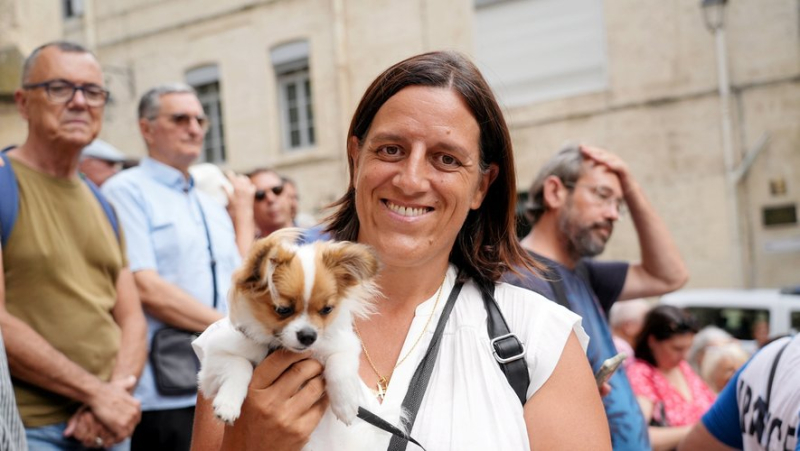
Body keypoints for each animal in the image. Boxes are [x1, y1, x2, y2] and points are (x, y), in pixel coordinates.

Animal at [195, 230, 380, 428]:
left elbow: (339, 367)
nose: (308, 336)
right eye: (282, 310)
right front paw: (228, 405)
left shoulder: (345, 345)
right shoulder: (212, 367)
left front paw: (345, 404)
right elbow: (240, 365)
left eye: (327, 310)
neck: (279, 346)